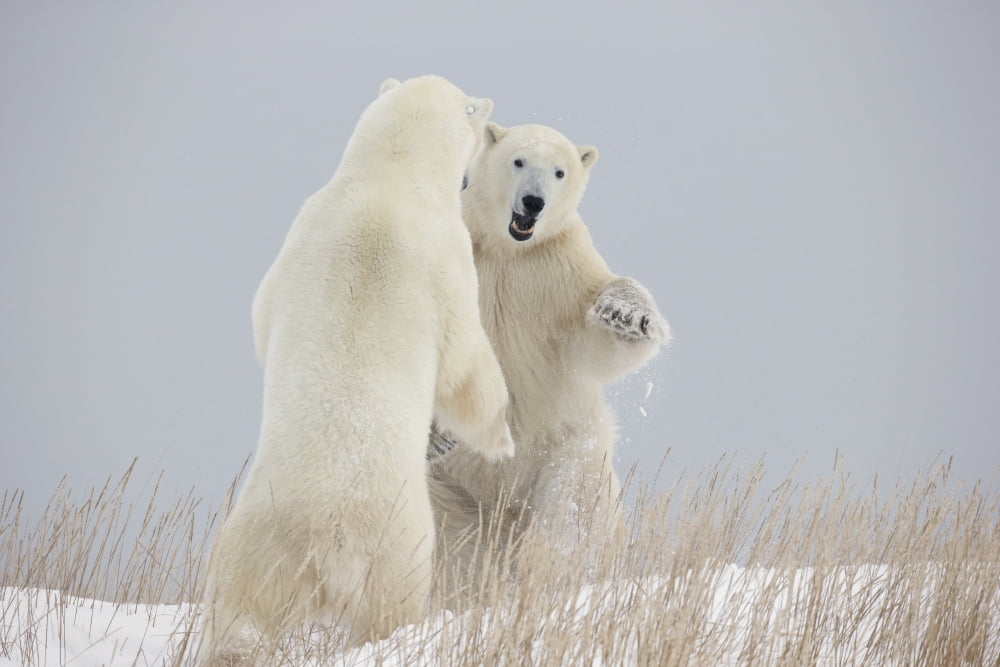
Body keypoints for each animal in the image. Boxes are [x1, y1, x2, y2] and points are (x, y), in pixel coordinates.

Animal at [197, 76, 515, 665]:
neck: (390, 177)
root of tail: (331, 542)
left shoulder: (303, 228)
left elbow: (261, 316)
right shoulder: (449, 257)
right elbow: (465, 363)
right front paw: (502, 441)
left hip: (261, 543)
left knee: (239, 615)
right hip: (396, 546)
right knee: (389, 610)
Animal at [428, 122, 670, 602]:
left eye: (560, 171)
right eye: (519, 161)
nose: (533, 202)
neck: (506, 248)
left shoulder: (557, 270)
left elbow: (595, 342)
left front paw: (626, 314)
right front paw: (440, 433)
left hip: (566, 449)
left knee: (572, 513)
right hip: (447, 487)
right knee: (448, 541)